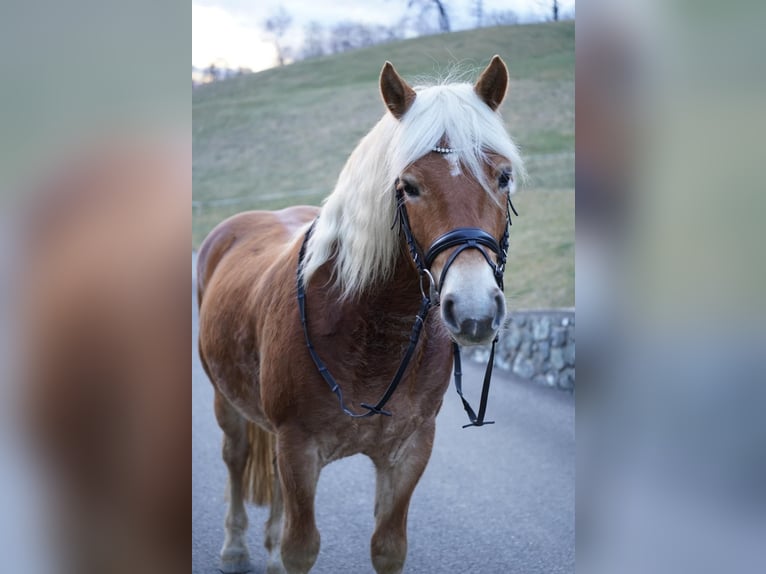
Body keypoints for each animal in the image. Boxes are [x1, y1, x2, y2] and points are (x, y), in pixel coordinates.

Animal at [197, 56, 525, 574]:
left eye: (503, 177)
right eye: (408, 187)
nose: (474, 309)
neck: (372, 330)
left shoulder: (409, 451)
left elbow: (388, 548)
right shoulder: (298, 450)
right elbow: (300, 547)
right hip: (226, 400)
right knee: (235, 455)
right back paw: (235, 547)